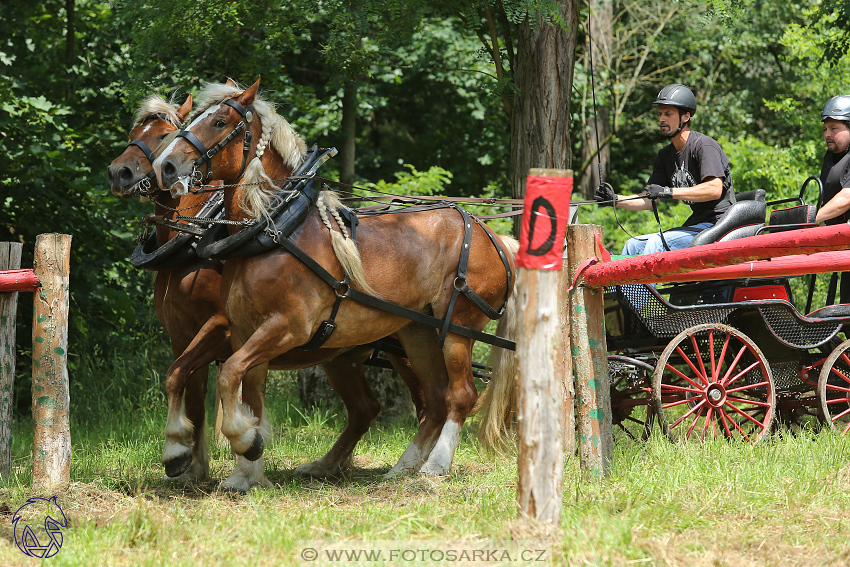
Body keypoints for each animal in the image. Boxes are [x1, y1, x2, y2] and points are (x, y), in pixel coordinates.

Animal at [107, 92, 424, 492]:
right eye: (135, 133)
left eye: (165, 134)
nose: (119, 172)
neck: (194, 244)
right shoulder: (182, 337)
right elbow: (184, 385)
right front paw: (191, 462)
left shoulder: (220, 328)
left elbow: (194, 381)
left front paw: (212, 456)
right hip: (343, 354)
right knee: (366, 408)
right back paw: (328, 466)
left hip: (409, 346)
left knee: (430, 399)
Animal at [154, 77, 516, 478]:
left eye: (219, 122)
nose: (165, 166)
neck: (276, 228)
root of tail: (493, 237)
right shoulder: (244, 331)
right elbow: (221, 384)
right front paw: (231, 467)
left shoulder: (287, 327)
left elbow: (229, 374)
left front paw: (244, 442)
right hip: (415, 333)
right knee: (431, 399)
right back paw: (398, 469)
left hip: (456, 330)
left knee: (460, 395)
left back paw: (434, 465)